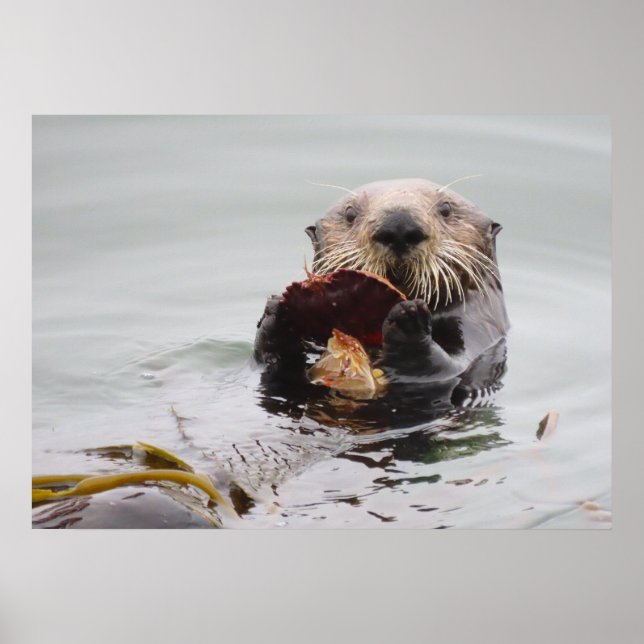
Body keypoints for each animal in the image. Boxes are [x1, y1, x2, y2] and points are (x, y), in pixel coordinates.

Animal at [254, 178, 509, 407]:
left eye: (446, 209)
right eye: (350, 214)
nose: (399, 226)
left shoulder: (480, 334)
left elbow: (446, 368)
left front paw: (409, 319)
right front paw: (276, 312)